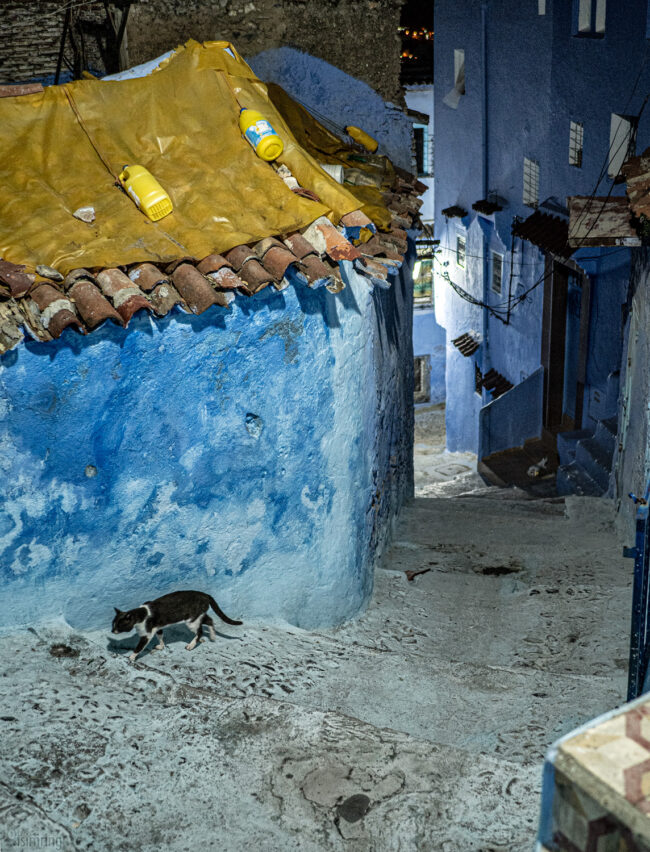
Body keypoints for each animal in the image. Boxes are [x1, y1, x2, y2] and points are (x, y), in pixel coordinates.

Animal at [111, 588, 243, 664]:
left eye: (119, 625)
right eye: (113, 624)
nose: (112, 631)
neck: (142, 613)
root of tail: (205, 595)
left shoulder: (146, 635)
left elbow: (139, 647)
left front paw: (131, 657)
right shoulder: (157, 628)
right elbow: (160, 636)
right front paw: (161, 646)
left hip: (191, 620)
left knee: (200, 630)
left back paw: (192, 645)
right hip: (197, 616)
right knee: (209, 620)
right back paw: (211, 636)